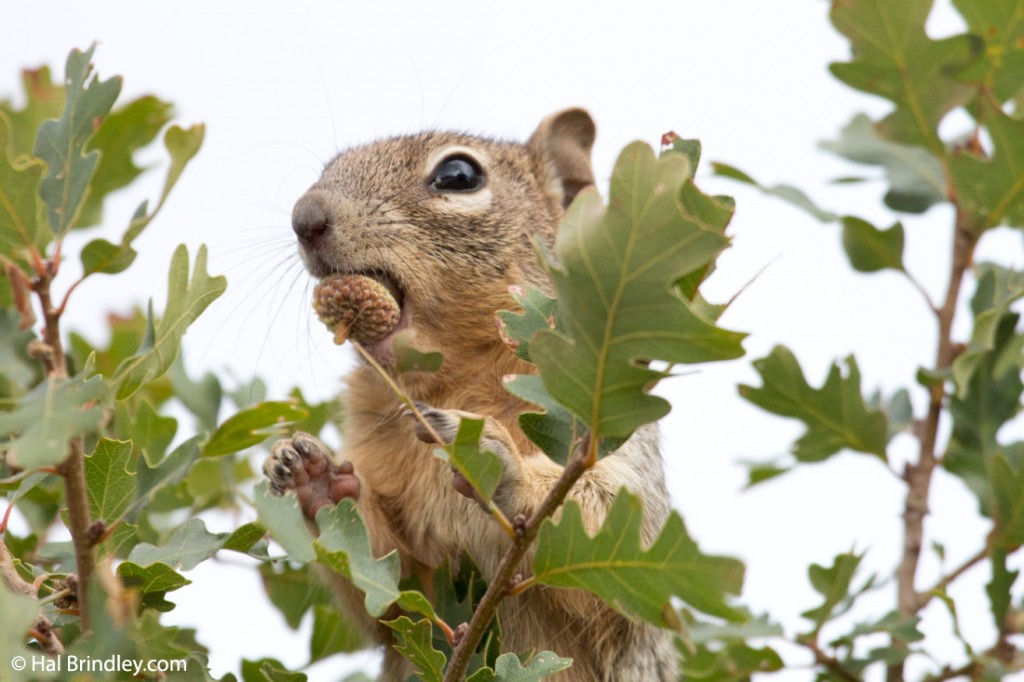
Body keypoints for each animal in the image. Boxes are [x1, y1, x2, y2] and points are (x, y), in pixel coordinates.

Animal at [264, 109, 679, 675]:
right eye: (327, 168)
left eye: (458, 175)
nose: (305, 218)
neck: (446, 384)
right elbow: (389, 592)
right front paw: (315, 479)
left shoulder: (615, 436)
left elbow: (611, 519)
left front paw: (493, 458)